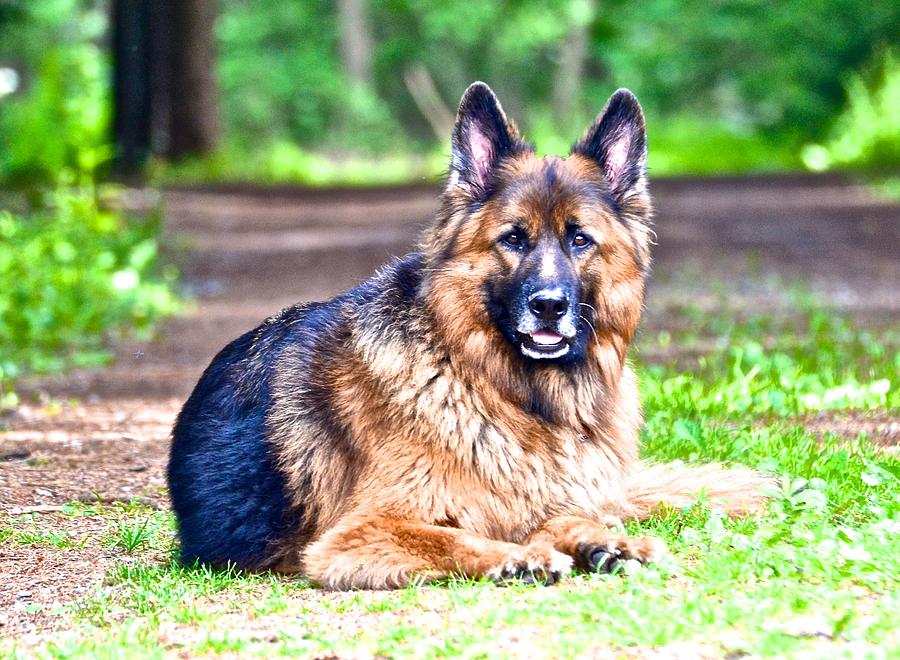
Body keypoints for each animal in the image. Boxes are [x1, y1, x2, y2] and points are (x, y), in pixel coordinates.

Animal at [169, 82, 768, 588]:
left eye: (580, 240)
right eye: (513, 239)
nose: (548, 307)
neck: (515, 396)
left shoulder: (559, 499)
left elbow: (565, 519)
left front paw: (602, 543)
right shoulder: (356, 536)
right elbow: (456, 538)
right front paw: (520, 557)